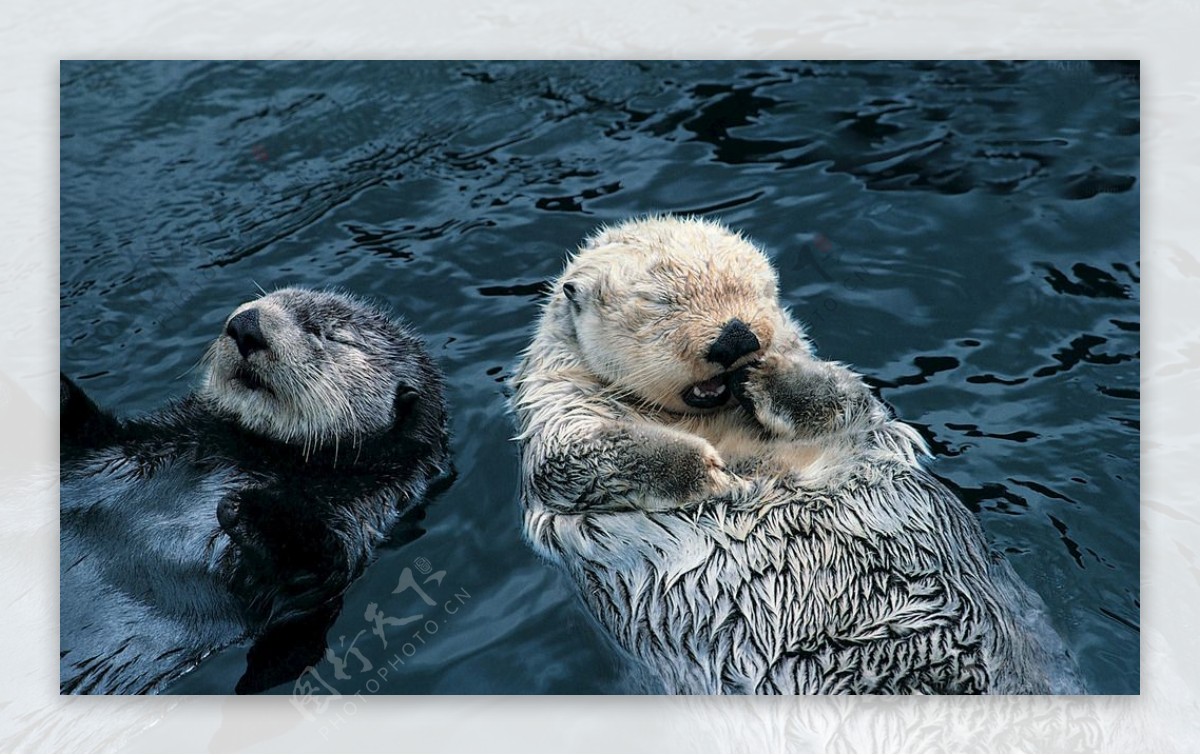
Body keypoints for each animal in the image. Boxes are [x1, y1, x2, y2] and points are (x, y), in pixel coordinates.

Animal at [59, 288, 451, 696]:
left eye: (330, 335)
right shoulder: (126, 446)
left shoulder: (360, 516)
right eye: (266, 297)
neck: (256, 453)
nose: (246, 324)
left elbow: (315, 569)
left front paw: (248, 508)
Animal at [516, 214, 1089, 691]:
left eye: (755, 290)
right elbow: (572, 459)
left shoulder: (854, 412)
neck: (711, 420)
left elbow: (844, 397)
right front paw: (711, 473)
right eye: (660, 303)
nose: (736, 338)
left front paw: (765, 378)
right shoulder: (558, 411)